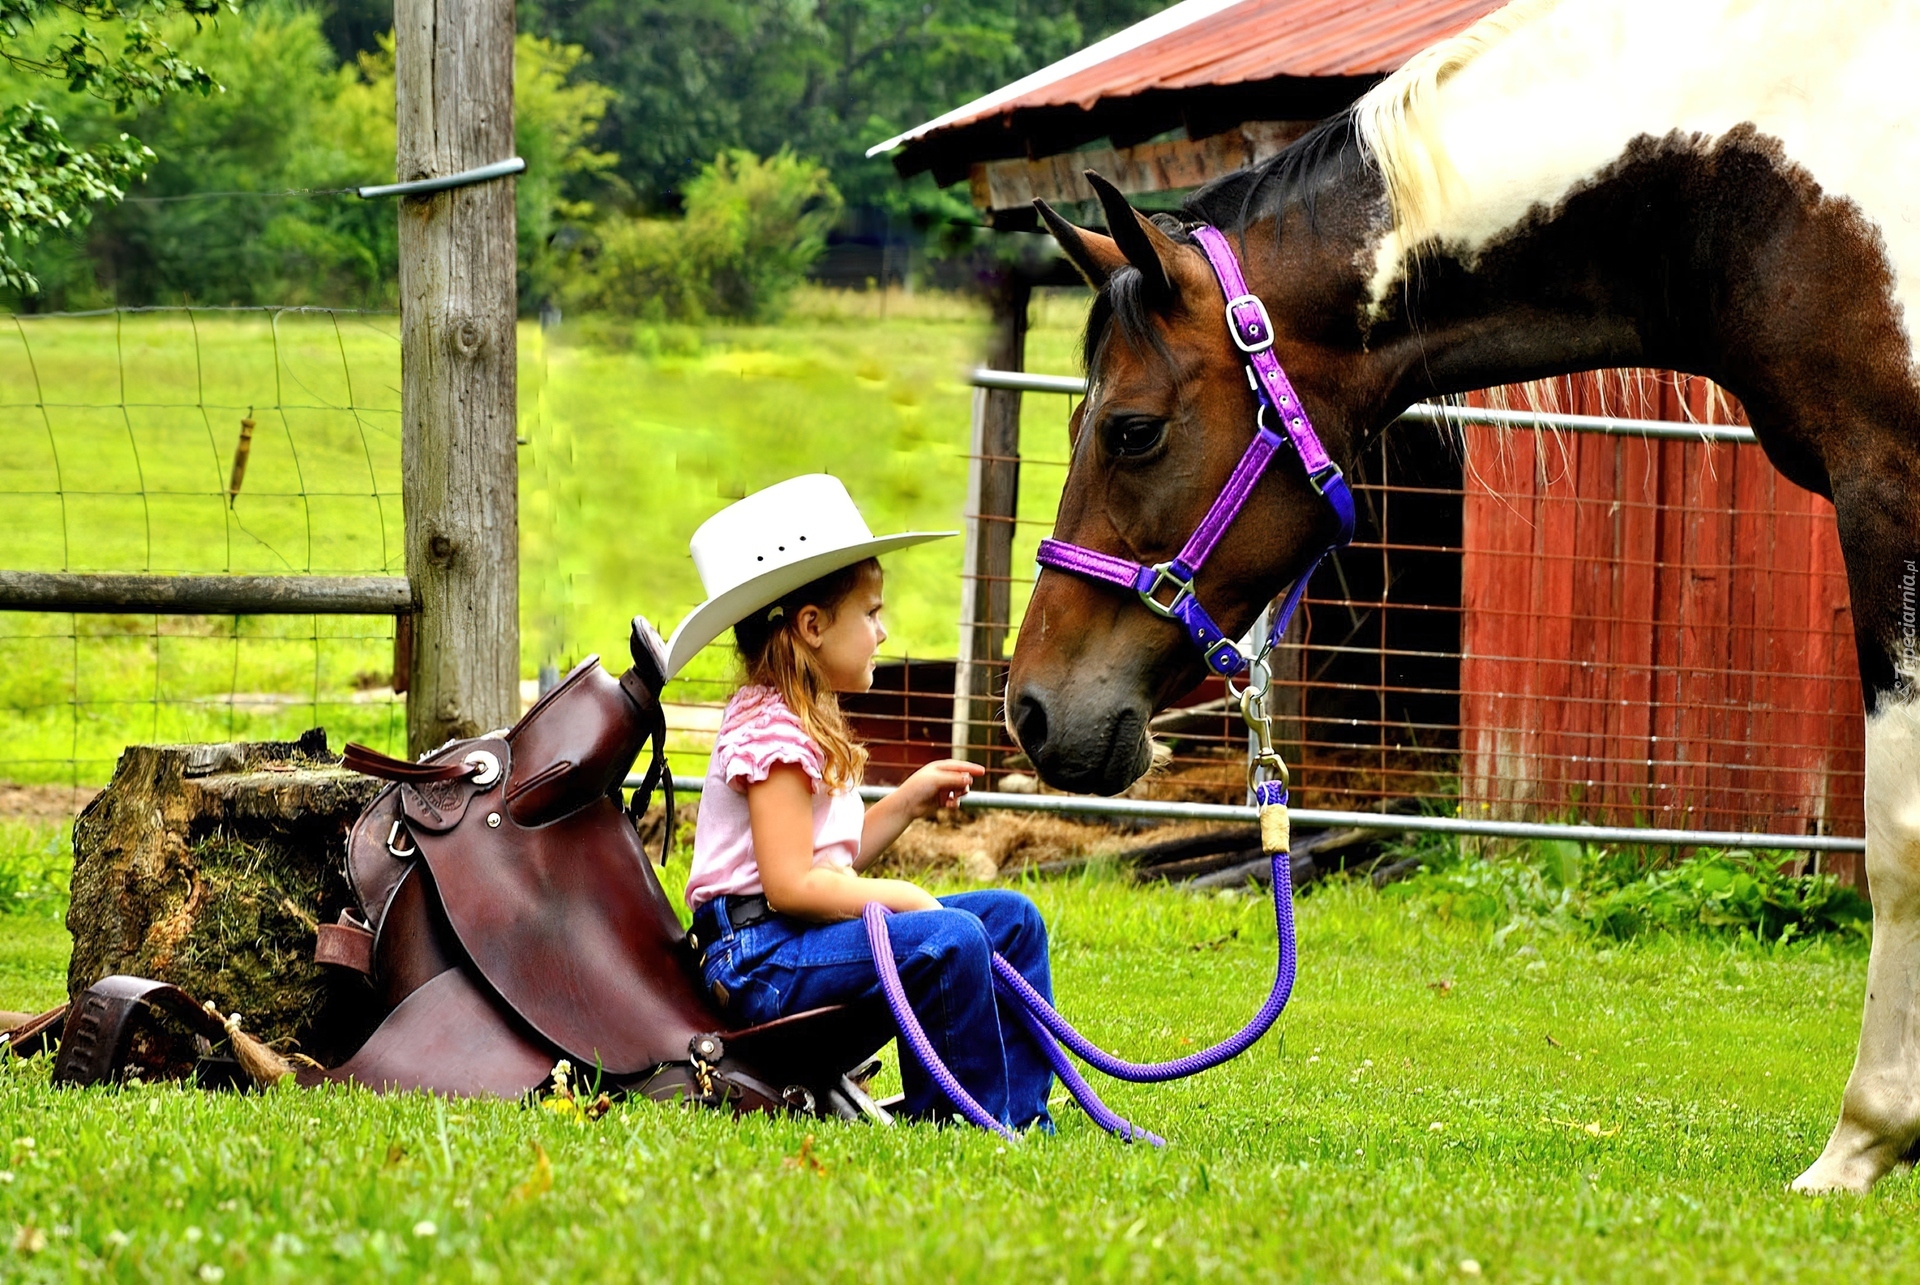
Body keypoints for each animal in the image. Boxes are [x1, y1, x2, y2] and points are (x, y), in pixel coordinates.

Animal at [1006, 0, 1920, 1190]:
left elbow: (1897, 836)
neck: (1790, 178)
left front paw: (1864, 1140)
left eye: (1130, 430)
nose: (1030, 709)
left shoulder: (1889, 493)